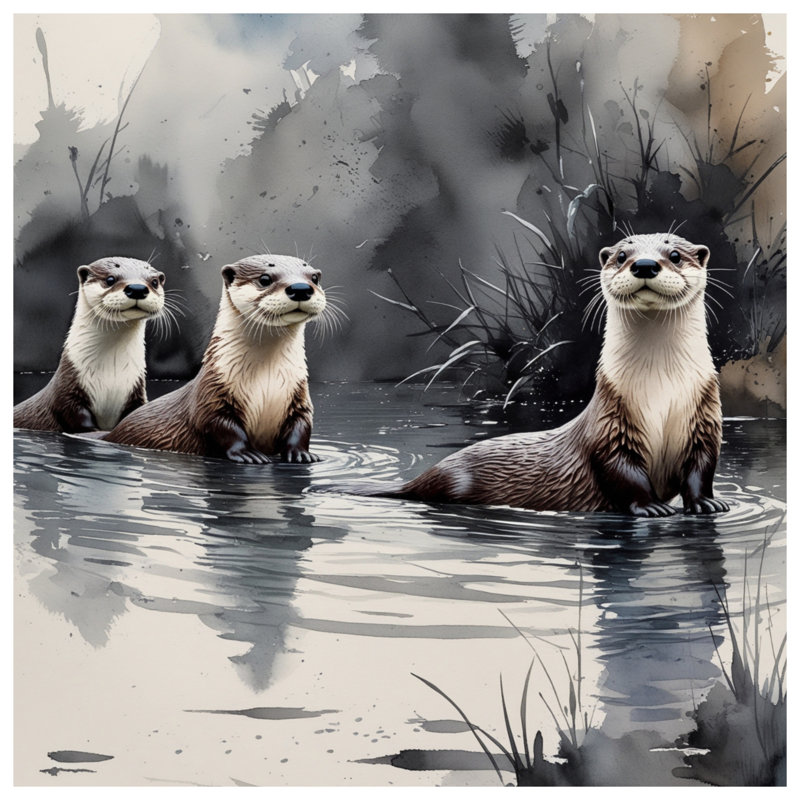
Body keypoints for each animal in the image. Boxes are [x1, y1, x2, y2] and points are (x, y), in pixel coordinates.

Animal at [14, 257, 167, 433]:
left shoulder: (135, 391)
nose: (137, 288)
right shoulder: (67, 390)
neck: (111, 375)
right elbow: (75, 416)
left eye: (154, 282)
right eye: (110, 279)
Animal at [104, 254, 326, 464]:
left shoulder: (299, 397)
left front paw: (301, 454)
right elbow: (222, 427)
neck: (267, 383)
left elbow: (302, 425)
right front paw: (248, 454)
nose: (301, 288)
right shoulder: (212, 394)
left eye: (314, 278)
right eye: (265, 279)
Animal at [378, 234, 729, 517]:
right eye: (621, 256)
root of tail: (427, 474)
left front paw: (707, 503)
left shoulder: (704, 422)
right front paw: (650, 506)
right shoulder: (610, 428)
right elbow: (623, 473)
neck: (661, 390)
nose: (644, 264)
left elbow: (702, 468)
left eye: (674, 255)